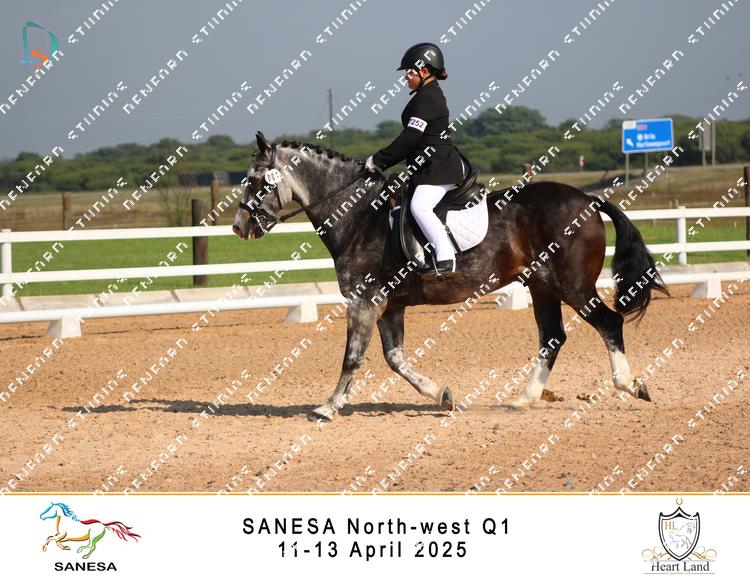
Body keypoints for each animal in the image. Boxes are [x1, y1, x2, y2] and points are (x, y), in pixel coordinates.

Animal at [233, 131, 668, 421]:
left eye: (253, 181)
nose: (239, 228)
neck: (359, 216)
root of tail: (588, 199)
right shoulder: (389, 305)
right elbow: (394, 359)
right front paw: (441, 394)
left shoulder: (364, 301)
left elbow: (353, 357)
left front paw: (328, 407)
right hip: (542, 285)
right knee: (552, 337)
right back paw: (522, 399)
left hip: (572, 285)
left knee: (608, 322)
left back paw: (630, 384)